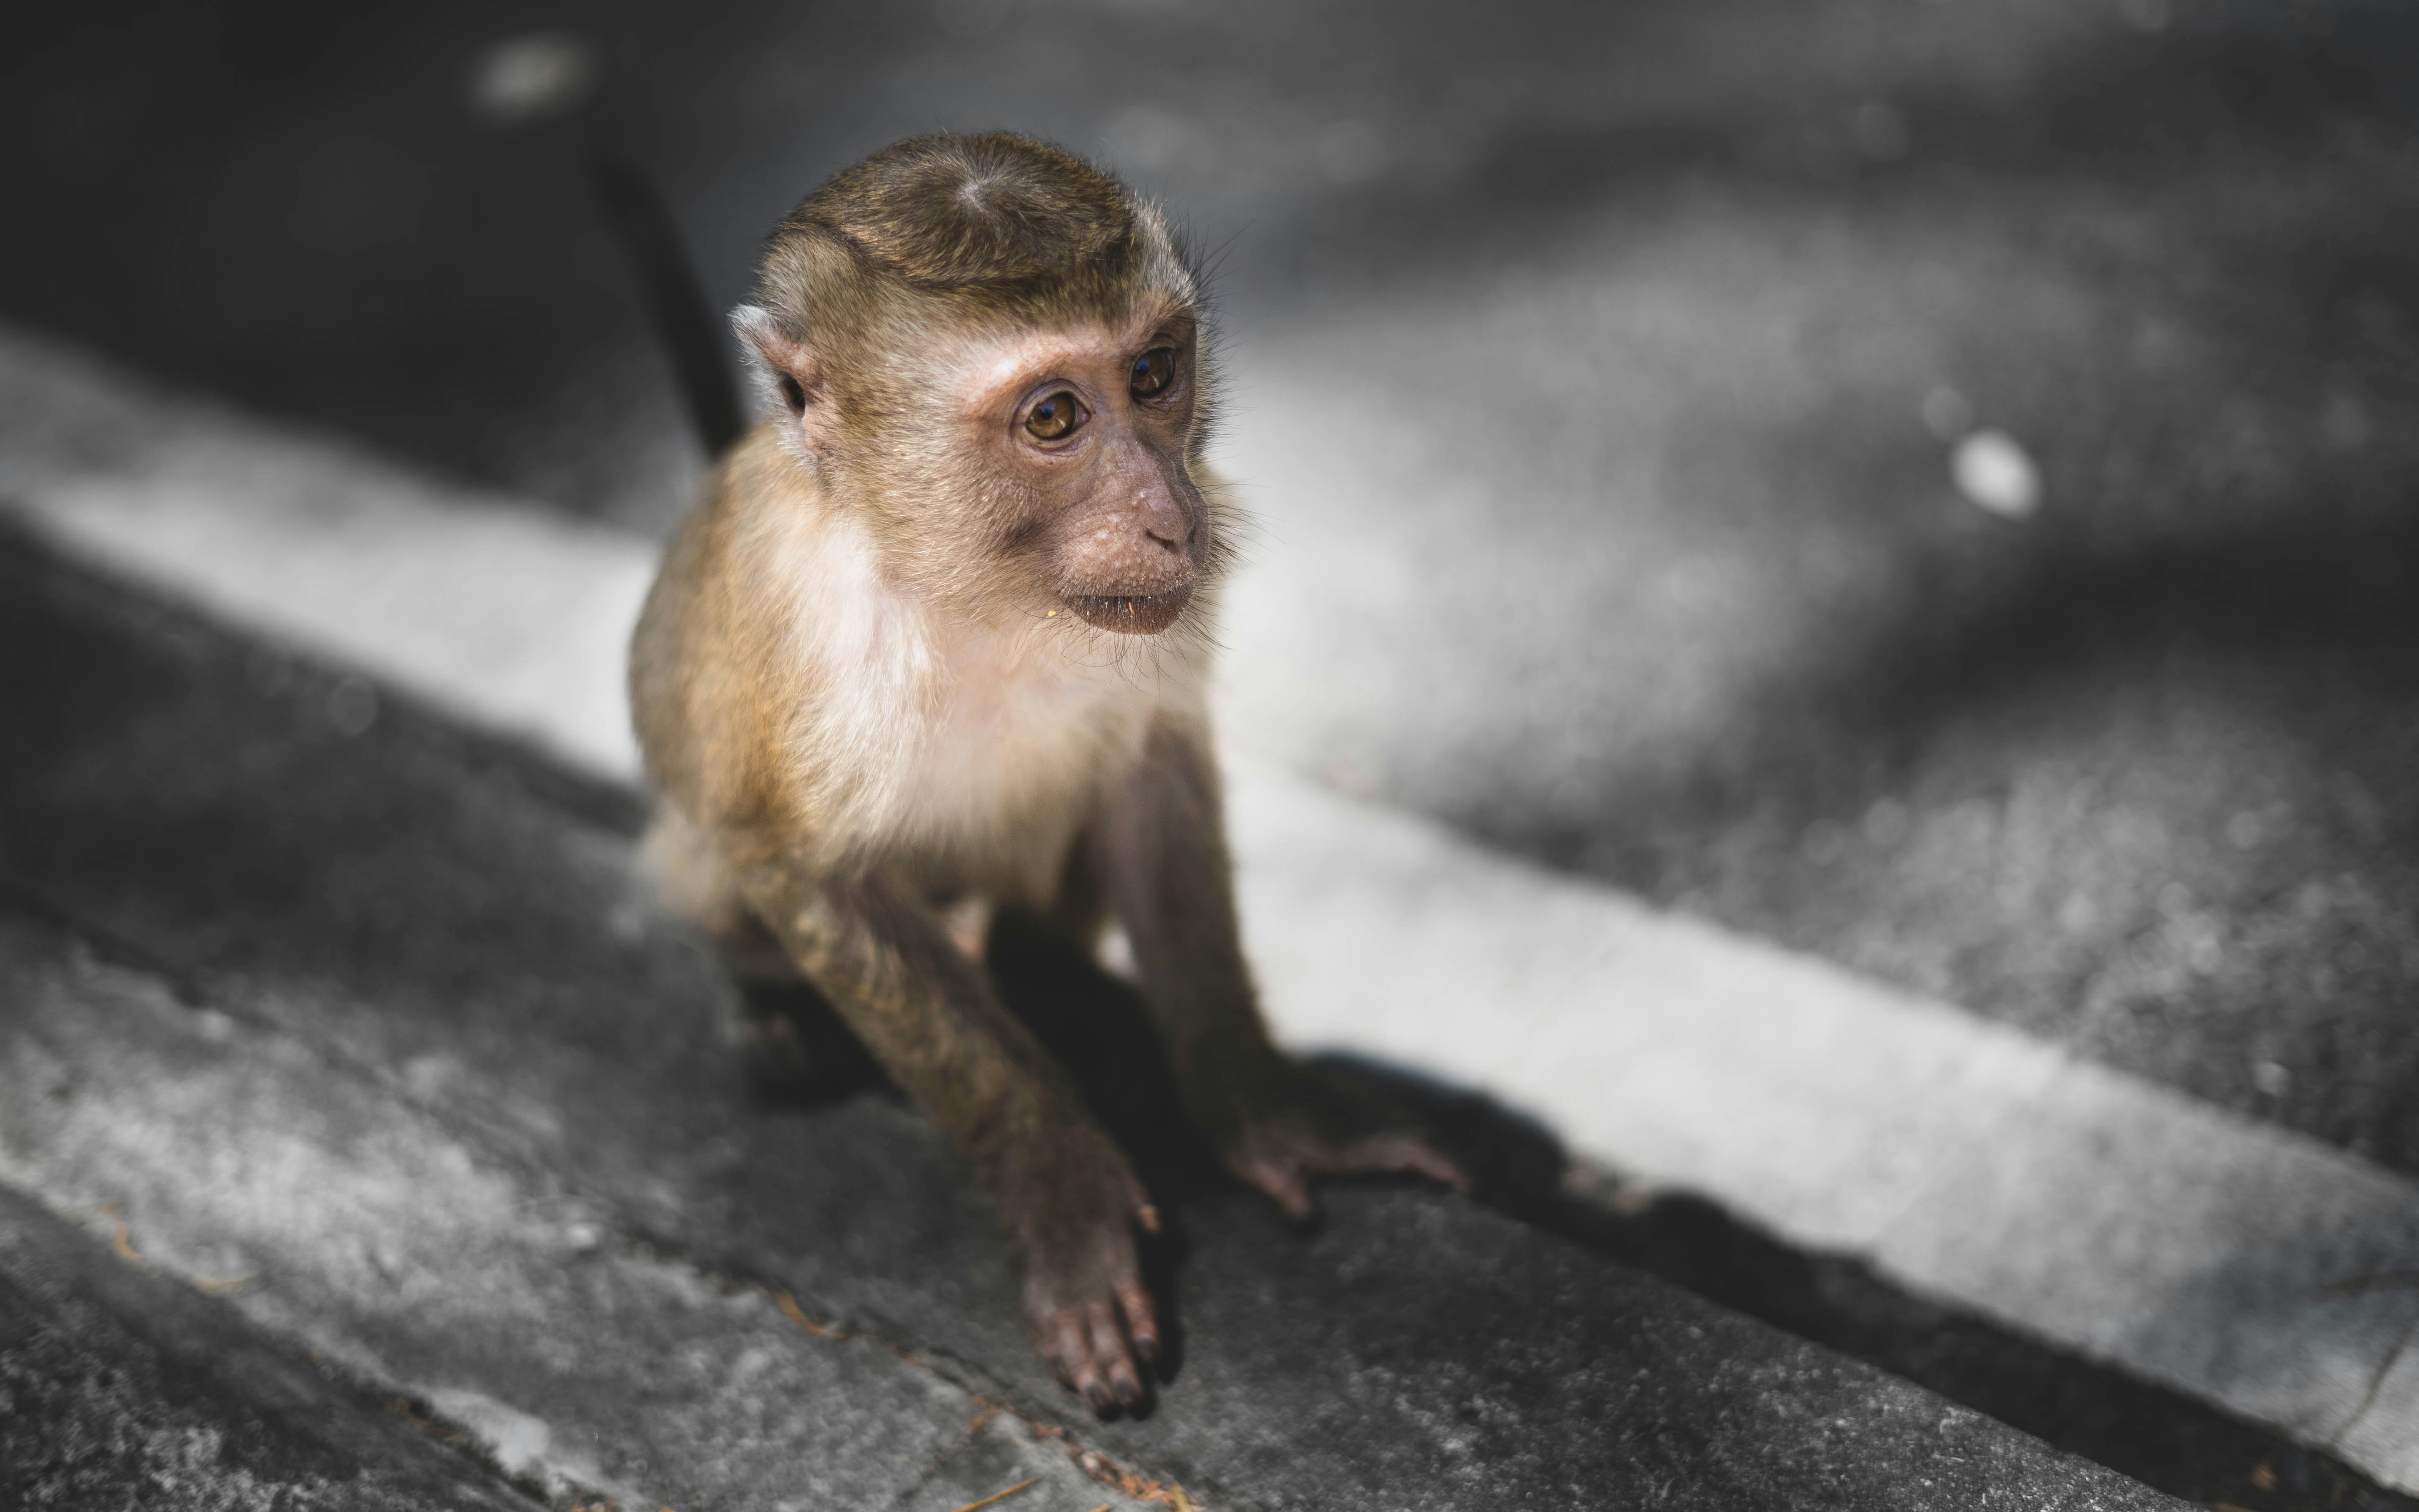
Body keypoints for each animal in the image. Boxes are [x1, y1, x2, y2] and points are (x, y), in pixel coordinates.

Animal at [627, 133, 1466, 1415]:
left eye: (1155, 372)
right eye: (1055, 415)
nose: (1171, 516)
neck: (972, 590)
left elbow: (1149, 781)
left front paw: (1266, 1112)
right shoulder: (808, 651)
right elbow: (804, 872)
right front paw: (1061, 1197)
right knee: (717, 868)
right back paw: (772, 1005)